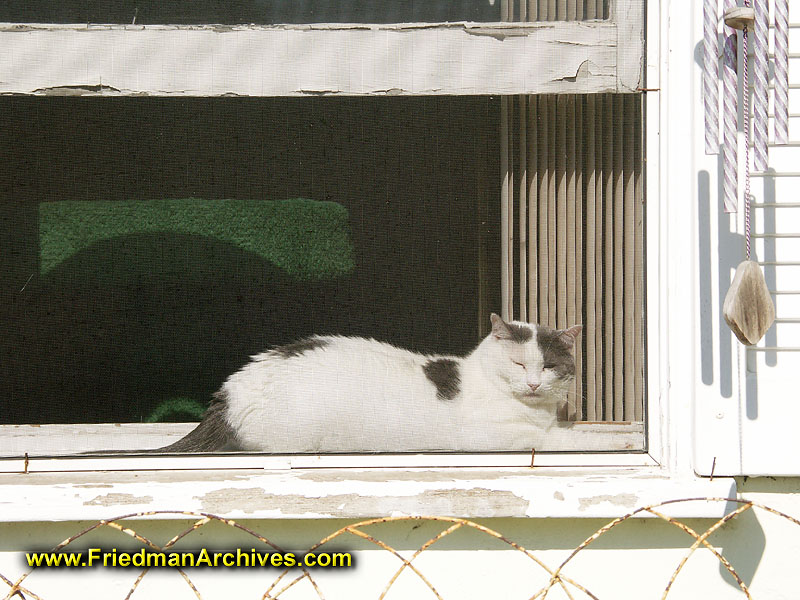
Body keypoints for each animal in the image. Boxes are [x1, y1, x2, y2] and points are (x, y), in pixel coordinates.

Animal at [148, 316, 580, 452]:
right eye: (518, 362)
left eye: (550, 366)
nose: (533, 384)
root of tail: (233, 388)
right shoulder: (493, 438)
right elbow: (557, 439)